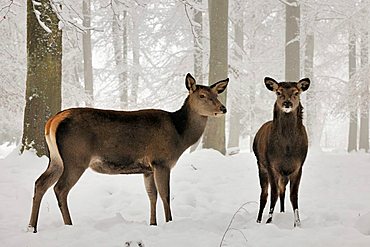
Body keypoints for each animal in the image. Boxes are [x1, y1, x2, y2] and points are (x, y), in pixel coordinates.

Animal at [27, 73, 228, 232]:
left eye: (217, 94)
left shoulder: (148, 169)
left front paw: (153, 224)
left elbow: (152, 196)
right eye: (202, 95)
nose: (223, 108)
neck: (180, 136)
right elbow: (166, 195)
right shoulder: (161, 161)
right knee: (60, 188)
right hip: (76, 158)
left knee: (40, 183)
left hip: (56, 159)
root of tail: (51, 122)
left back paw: (32, 227)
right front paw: (169, 222)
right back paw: (69, 225)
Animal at [253, 76, 310, 228]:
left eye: (296, 92)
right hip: (261, 165)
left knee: (282, 191)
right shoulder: (271, 165)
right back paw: (258, 219)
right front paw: (269, 220)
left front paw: (297, 223)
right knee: (264, 194)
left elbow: (293, 195)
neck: (287, 149)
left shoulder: (298, 166)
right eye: (278, 92)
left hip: (284, 174)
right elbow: (273, 194)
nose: (287, 103)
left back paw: (283, 212)